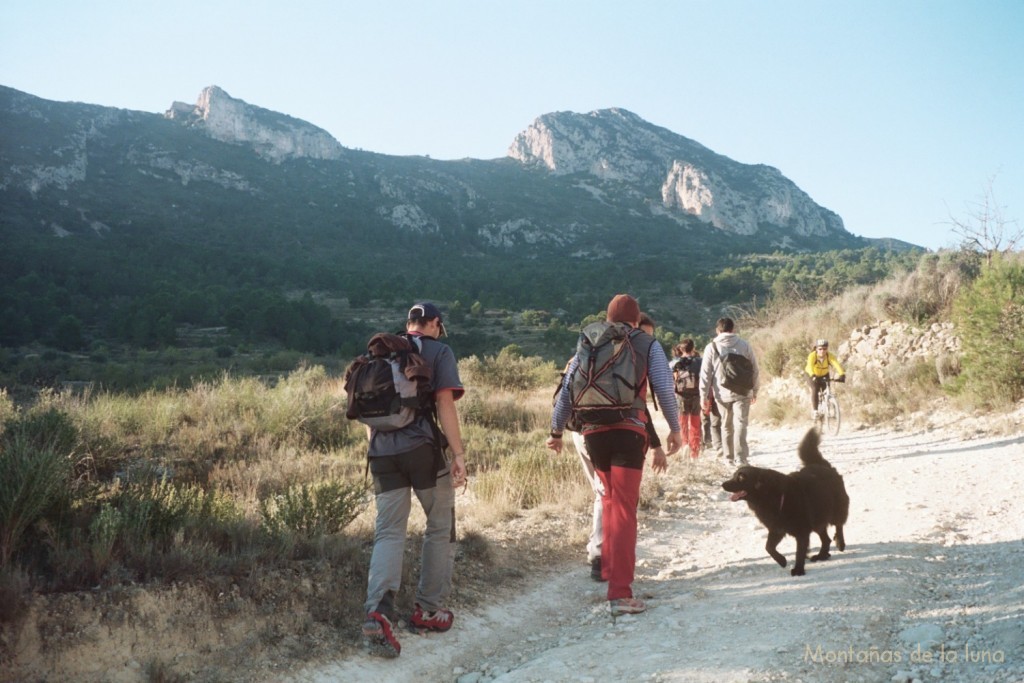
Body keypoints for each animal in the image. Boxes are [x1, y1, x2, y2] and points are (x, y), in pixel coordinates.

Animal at [724, 430, 851, 573]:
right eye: (734, 475)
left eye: (741, 477)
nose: (723, 484)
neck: (772, 496)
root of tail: (824, 466)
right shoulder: (777, 528)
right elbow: (768, 547)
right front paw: (782, 561)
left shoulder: (801, 531)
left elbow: (799, 551)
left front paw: (798, 570)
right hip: (818, 519)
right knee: (826, 539)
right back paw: (822, 555)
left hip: (835, 510)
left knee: (838, 525)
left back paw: (840, 543)